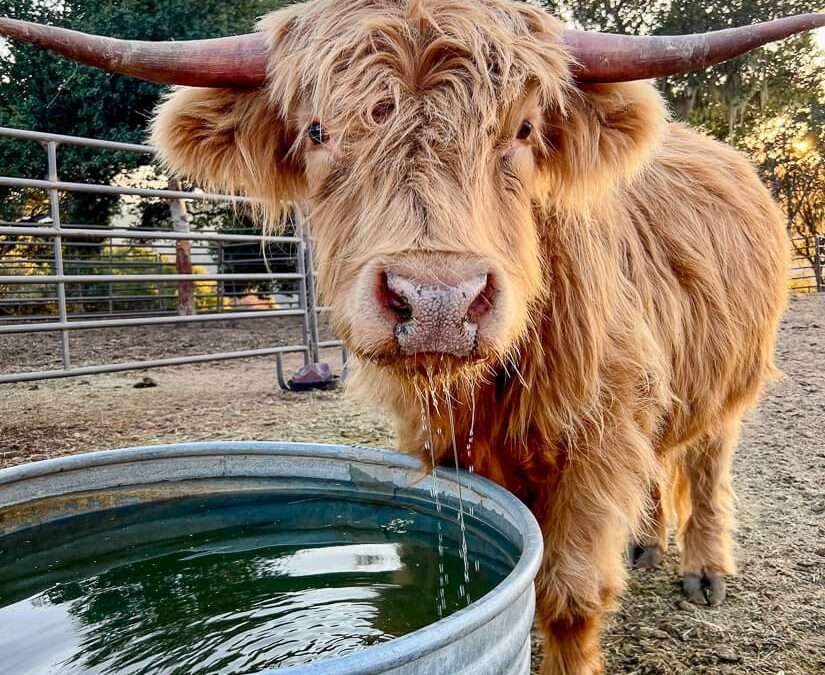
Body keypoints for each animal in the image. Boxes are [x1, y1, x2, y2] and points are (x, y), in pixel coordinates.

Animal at [3, 2, 820, 672]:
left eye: (522, 130)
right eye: (318, 131)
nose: (435, 300)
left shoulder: (600, 436)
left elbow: (568, 596)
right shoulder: (441, 442)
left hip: (729, 384)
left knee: (706, 467)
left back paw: (705, 571)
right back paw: (647, 541)